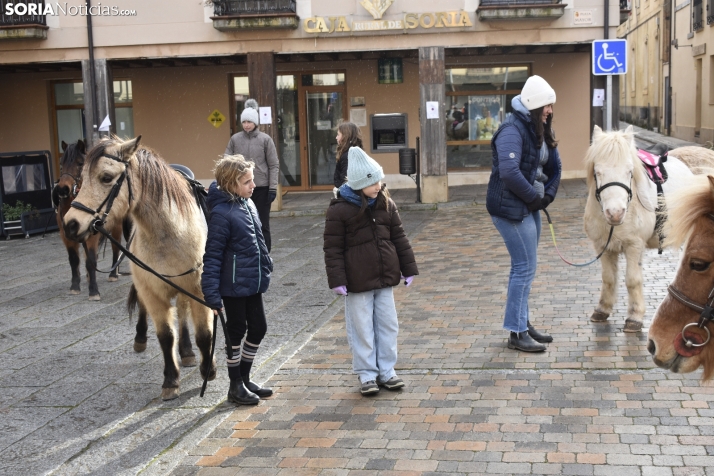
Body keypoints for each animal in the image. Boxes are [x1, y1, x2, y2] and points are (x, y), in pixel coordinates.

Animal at [54, 139, 125, 300]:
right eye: (61, 163)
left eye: (80, 163)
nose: (62, 189)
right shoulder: (66, 235)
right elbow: (74, 259)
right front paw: (75, 286)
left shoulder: (93, 234)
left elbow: (91, 260)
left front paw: (93, 290)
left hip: (116, 228)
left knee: (115, 248)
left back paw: (113, 274)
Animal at [62, 136, 214, 400]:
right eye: (82, 176)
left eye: (106, 177)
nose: (71, 224)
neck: (169, 233)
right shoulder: (151, 291)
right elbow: (165, 336)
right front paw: (170, 380)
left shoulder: (198, 289)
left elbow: (204, 333)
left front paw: (208, 369)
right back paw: (143, 338)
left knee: (183, 310)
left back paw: (187, 351)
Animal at [584, 126, 696, 332]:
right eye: (598, 171)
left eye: (630, 172)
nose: (615, 213)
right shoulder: (602, 246)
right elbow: (608, 278)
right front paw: (602, 309)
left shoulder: (634, 246)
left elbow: (632, 280)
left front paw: (634, 317)